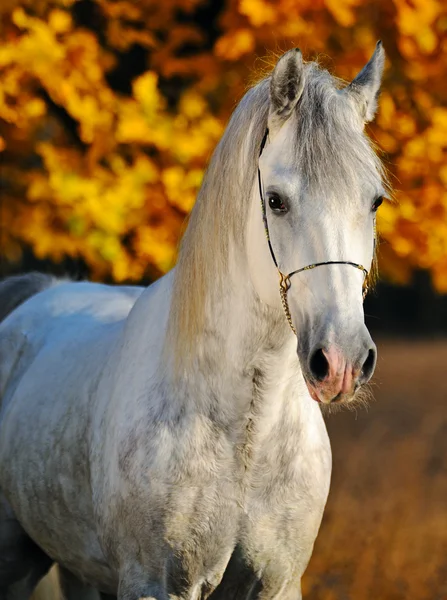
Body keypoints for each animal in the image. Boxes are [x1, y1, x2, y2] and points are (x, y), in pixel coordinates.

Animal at [0, 43, 388, 600]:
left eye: (374, 200)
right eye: (276, 200)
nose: (342, 362)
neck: (246, 433)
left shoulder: (278, 584)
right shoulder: (151, 583)